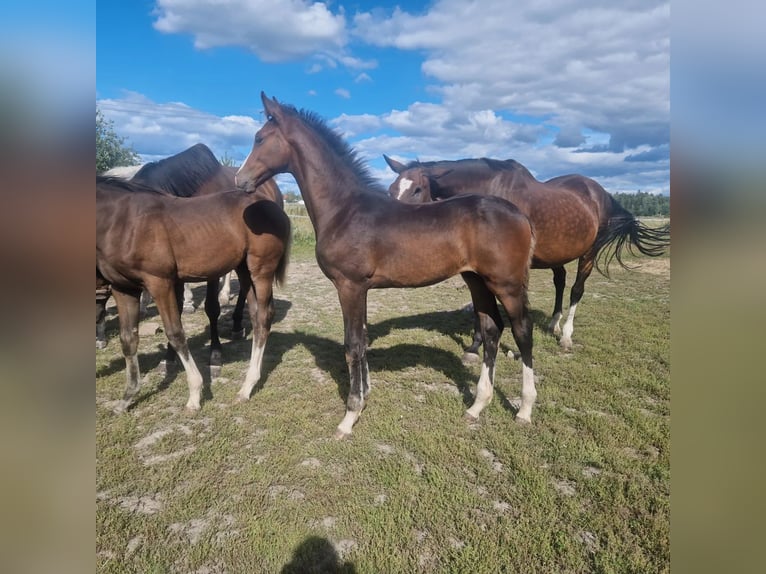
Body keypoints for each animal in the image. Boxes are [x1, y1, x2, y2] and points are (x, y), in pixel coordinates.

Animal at [96, 176, 288, 414]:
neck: (121, 221)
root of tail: (274, 207)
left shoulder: (159, 282)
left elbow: (176, 333)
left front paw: (195, 395)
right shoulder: (123, 288)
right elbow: (128, 339)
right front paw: (127, 398)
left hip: (261, 271)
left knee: (263, 317)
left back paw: (247, 387)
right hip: (244, 270)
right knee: (255, 315)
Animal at [237, 92, 536, 438]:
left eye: (260, 138)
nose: (240, 180)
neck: (343, 209)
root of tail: (520, 215)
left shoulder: (350, 286)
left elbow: (353, 344)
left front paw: (350, 416)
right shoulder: (362, 288)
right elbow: (362, 339)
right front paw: (364, 396)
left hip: (507, 283)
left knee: (522, 331)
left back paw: (525, 409)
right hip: (477, 281)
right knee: (491, 330)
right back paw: (477, 406)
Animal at [388, 155, 668, 354]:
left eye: (416, 189)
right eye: (391, 190)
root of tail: (600, 193)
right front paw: (475, 346)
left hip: (589, 253)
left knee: (576, 290)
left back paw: (566, 336)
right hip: (556, 255)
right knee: (560, 281)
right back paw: (554, 324)